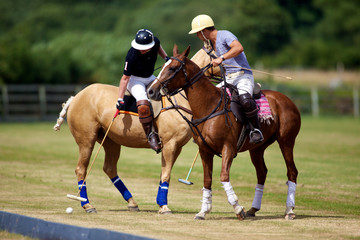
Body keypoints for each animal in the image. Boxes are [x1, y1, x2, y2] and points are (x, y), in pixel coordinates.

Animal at [53, 83, 193, 214]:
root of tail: (76, 97)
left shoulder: (177, 147)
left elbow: (163, 173)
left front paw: (161, 204)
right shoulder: (170, 143)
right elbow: (166, 174)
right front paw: (164, 206)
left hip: (110, 141)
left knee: (109, 168)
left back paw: (132, 202)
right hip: (86, 140)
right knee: (81, 169)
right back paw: (87, 205)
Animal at [147, 44, 300, 219]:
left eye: (172, 68)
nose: (151, 91)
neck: (208, 106)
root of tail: (288, 100)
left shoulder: (228, 147)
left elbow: (223, 176)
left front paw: (238, 208)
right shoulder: (204, 150)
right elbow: (207, 180)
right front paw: (203, 211)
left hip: (286, 141)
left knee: (292, 172)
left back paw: (289, 210)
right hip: (257, 148)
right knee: (262, 172)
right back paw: (253, 209)